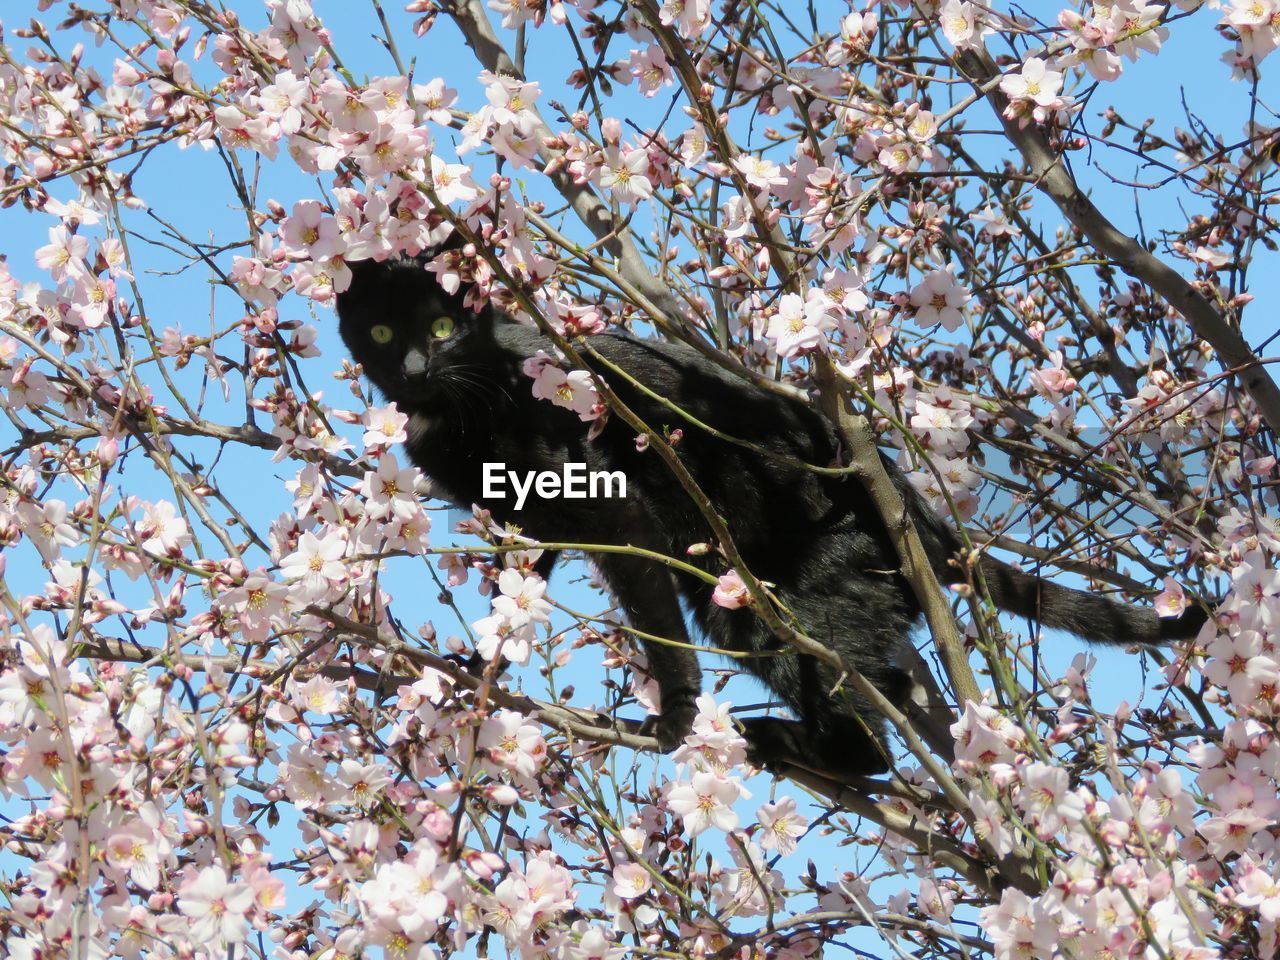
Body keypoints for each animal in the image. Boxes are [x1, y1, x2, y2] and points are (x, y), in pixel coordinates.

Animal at [332, 249, 1208, 783]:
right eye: (380, 330)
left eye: (441, 326)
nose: (415, 365)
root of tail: (909, 506)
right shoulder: (531, 520)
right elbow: (519, 584)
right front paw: (477, 665)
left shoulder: (611, 509)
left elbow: (654, 619)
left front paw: (677, 719)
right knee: (888, 682)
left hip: (767, 598)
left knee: (865, 712)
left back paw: (790, 739)